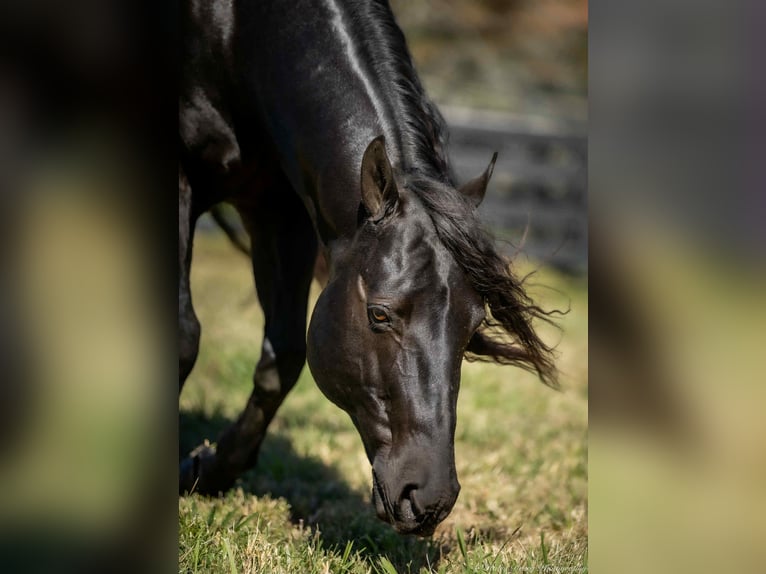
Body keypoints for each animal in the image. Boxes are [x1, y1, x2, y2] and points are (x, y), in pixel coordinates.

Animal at [179, 0, 557, 536]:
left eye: (472, 329)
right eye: (379, 314)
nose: (430, 500)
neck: (234, 32)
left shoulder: (283, 209)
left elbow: (282, 357)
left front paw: (207, 471)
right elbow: (184, 338)